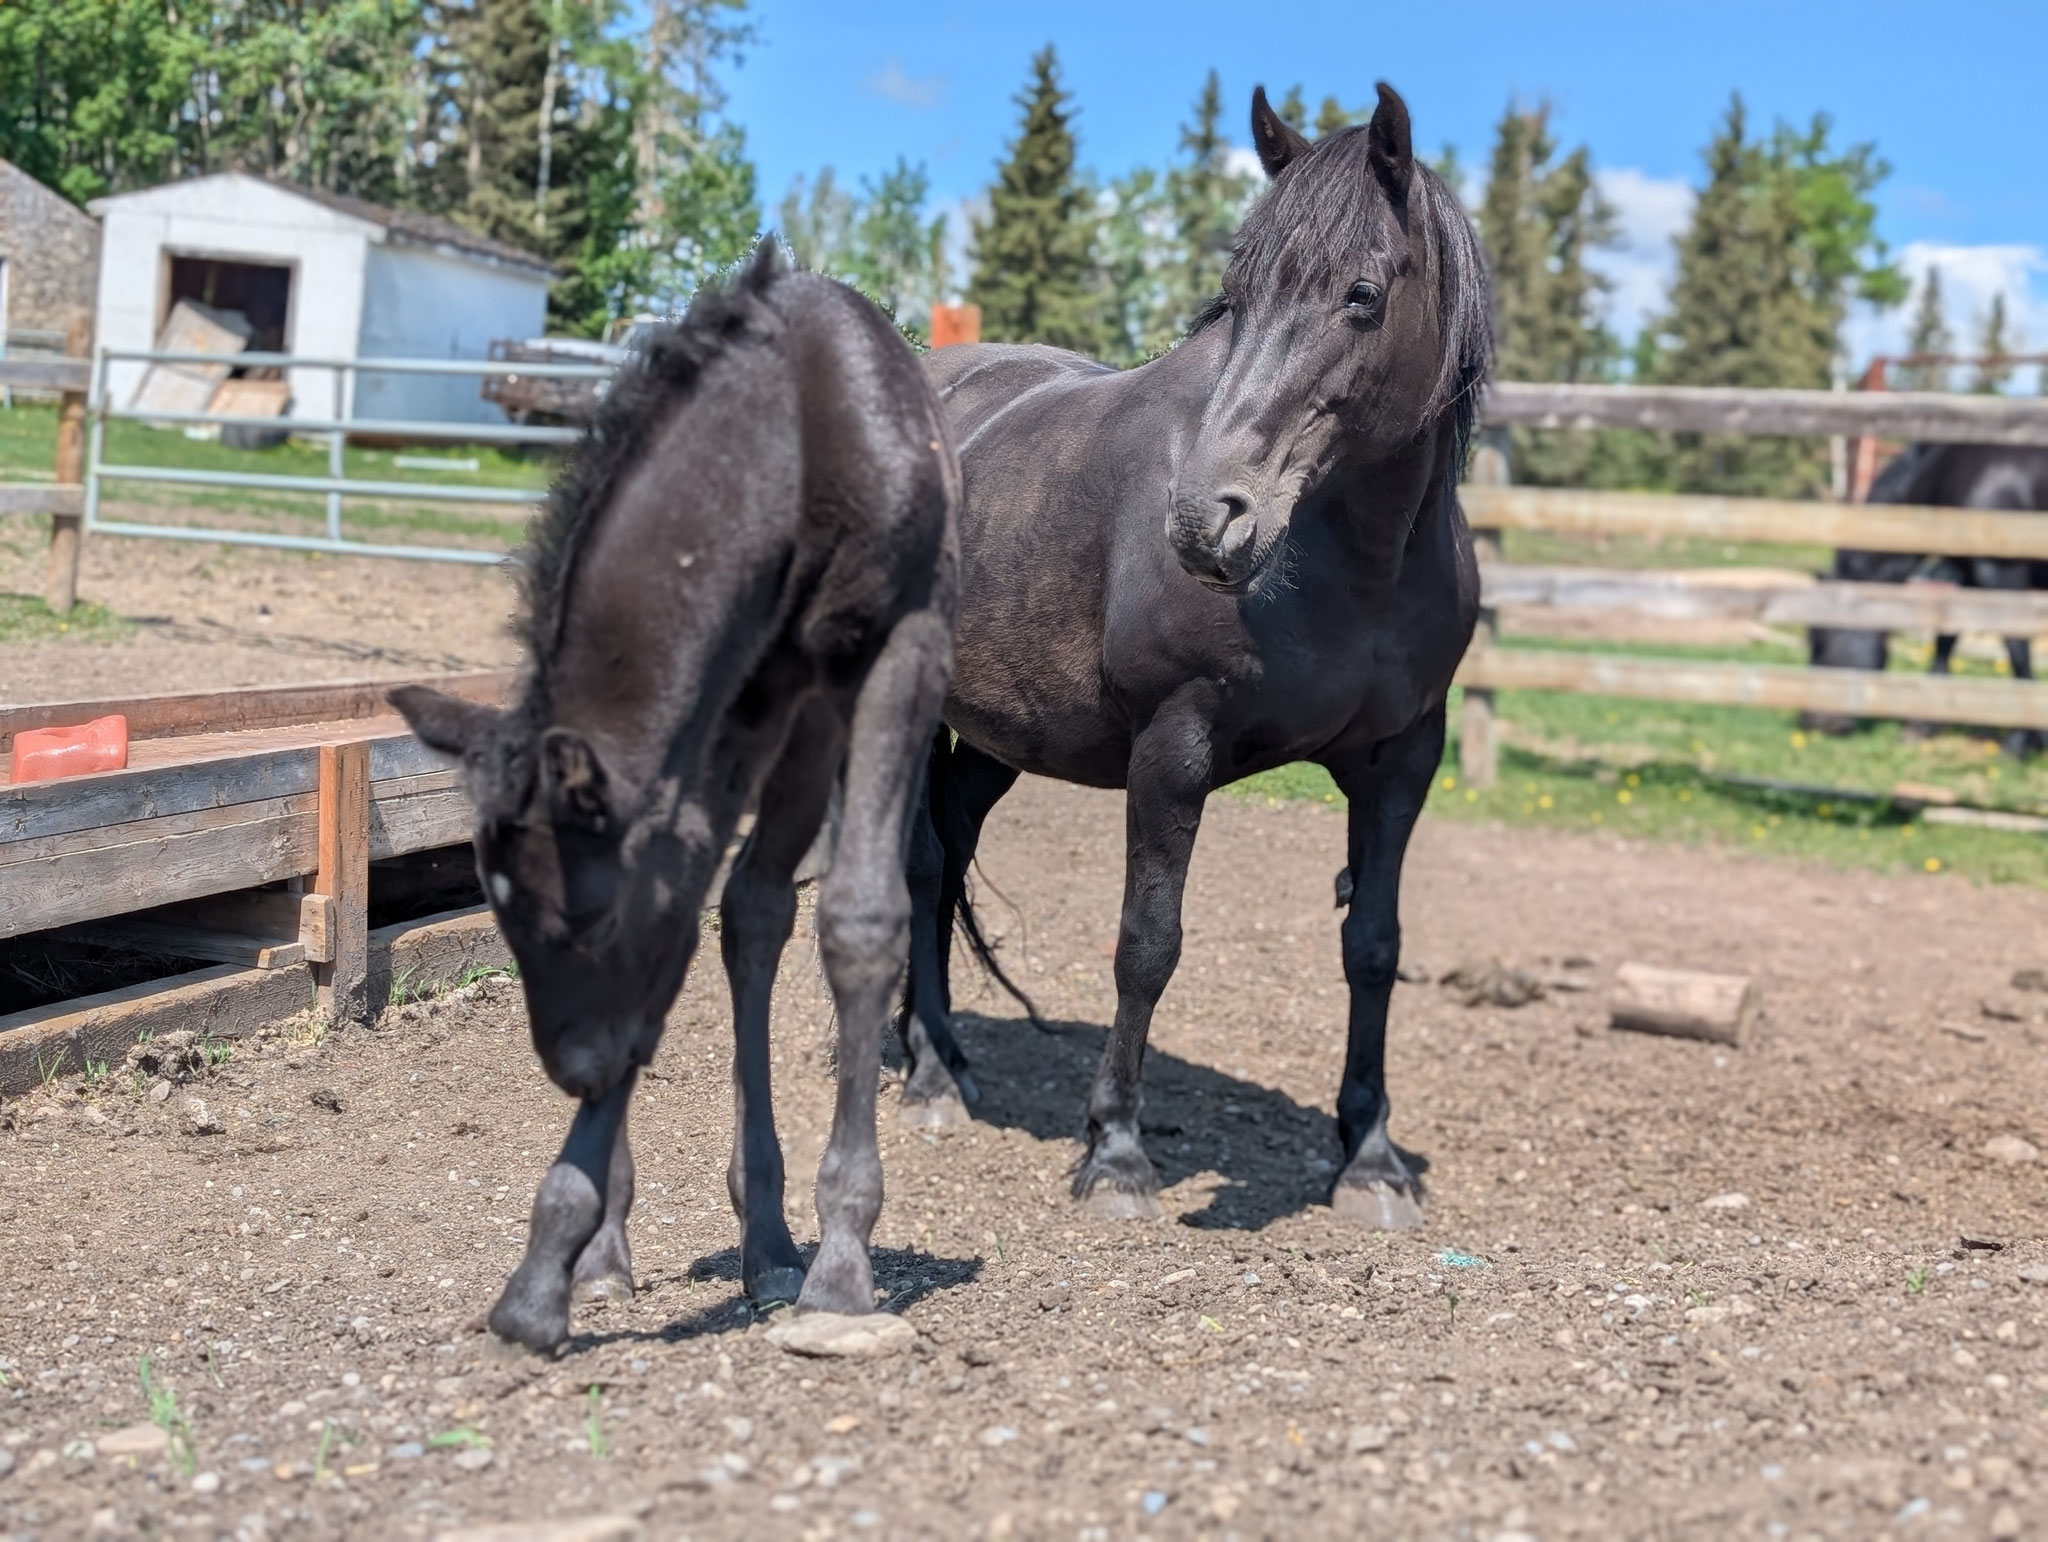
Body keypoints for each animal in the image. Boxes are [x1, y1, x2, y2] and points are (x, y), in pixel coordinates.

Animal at [391, 242, 959, 1350]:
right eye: (498, 914)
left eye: (589, 916)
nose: (572, 1069)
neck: (792, 441)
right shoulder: (727, 703)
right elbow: (675, 935)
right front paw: (551, 1266)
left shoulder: (893, 650)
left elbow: (859, 920)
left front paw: (842, 1257)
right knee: (737, 910)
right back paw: (647, 1244)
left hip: (810, 712)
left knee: (762, 907)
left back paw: (776, 1244)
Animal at [899, 83, 1490, 1229]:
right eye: (1237, 296)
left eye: (1361, 294)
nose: (1204, 520)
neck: (1345, 564)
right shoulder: (1173, 749)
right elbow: (1148, 943)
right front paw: (1117, 1152)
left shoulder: (1403, 759)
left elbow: (1374, 947)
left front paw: (1369, 1159)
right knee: (913, 868)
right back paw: (926, 1076)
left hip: (993, 737)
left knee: (943, 852)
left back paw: (939, 1055)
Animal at [1808, 443, 2048, 757]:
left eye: (1819, 640)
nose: (1810, 721)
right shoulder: (1968, 574)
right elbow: (1945, 640)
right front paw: (1924, 725)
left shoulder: (2002, 573)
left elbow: (2017, 648)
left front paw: (2021, 742)